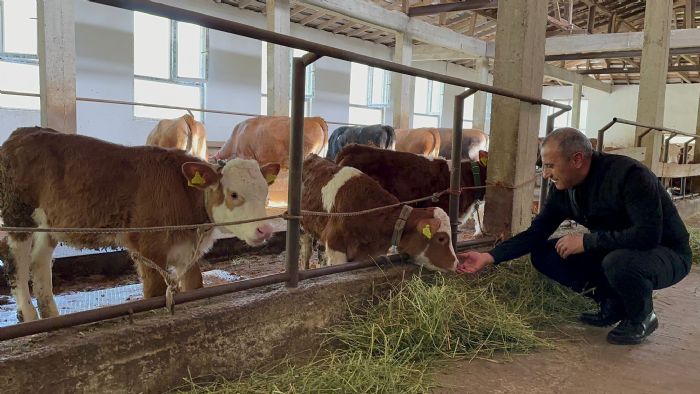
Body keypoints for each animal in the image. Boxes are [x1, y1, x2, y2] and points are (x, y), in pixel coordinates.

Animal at [0, 127, 278, 322]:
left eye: (266, 193)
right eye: (233, 194)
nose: (265, 229)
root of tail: (21, 133)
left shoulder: (187, 252)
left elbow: (195, 286)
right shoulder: (147, 247)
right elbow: (154, 293)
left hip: (49, 224)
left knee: (39, 262)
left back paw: (50, 316)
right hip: (17, 215)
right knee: (16, 262)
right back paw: (29, 316)